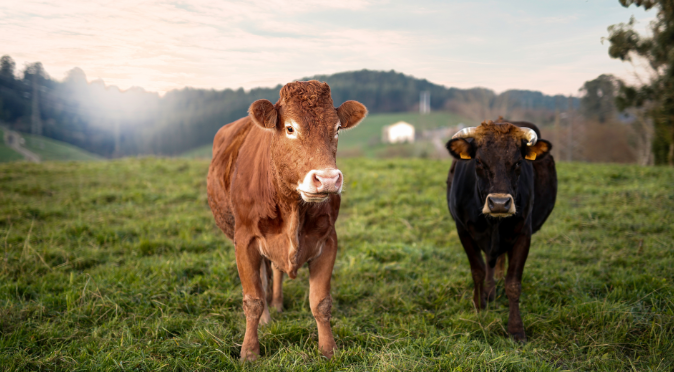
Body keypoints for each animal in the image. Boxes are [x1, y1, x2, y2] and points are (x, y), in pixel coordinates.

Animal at [207, 80, 364, 360]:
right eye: (290, 128)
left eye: (336, 129)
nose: (327, 179)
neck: (292, 207)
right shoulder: (244, 240)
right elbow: (253, 299)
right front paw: (249, 352)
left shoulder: (328, 239)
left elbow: (321, 302)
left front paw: (328, 349)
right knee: (263, 279)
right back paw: (267, 318)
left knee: (277, 271)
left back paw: (278, 304)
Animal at [444, 120, 552, 342]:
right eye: (479, 162)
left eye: (518, 162)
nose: (500, 203)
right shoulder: (463, 231)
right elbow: (478, 271)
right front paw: (479, 306)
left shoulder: (523, 233)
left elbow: (513, 284)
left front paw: (516, 329)